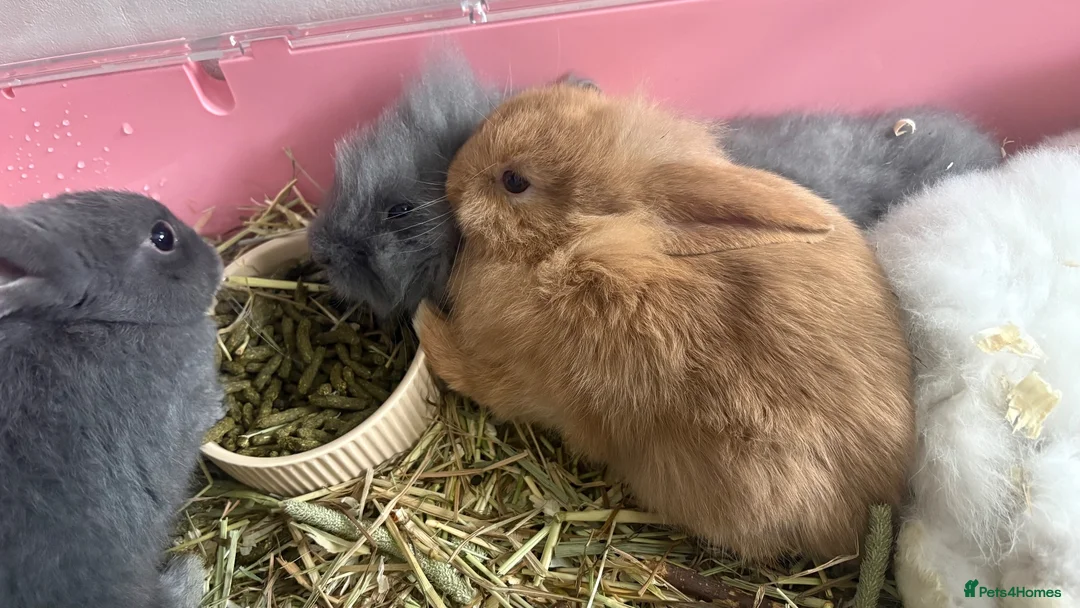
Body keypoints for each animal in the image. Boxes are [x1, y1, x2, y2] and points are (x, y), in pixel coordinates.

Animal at [413, 82, 916, 562]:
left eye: (514, 181)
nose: (452, 178)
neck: (564, 247)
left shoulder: (522, 380)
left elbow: (469, 373)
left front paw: (423, 321)